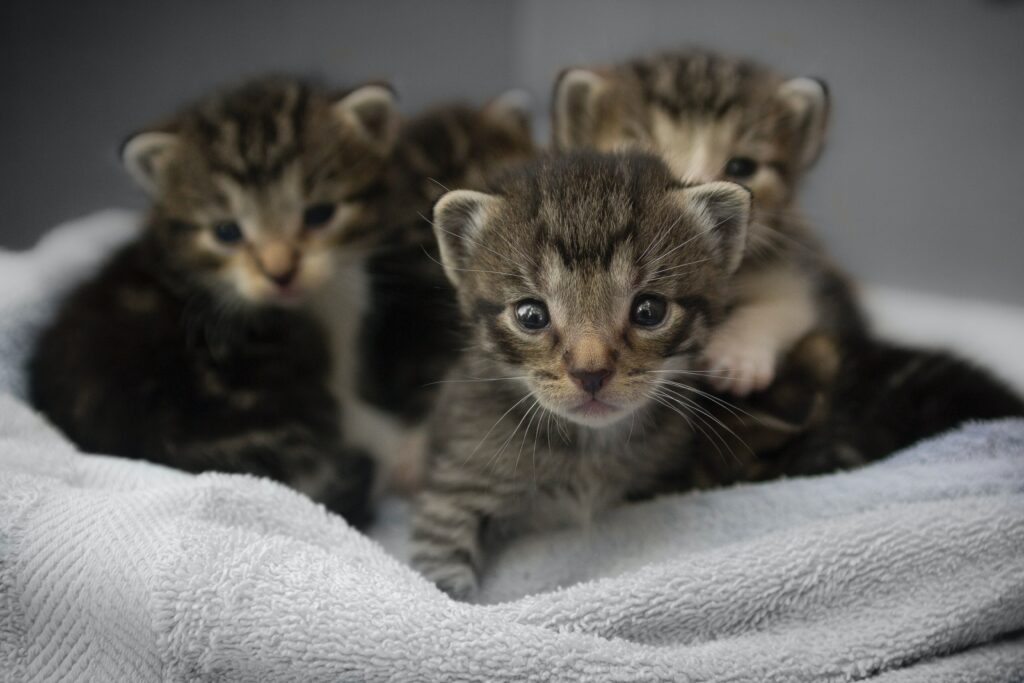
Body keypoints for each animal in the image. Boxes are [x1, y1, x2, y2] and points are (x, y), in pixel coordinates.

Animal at [411, 150, 757, 598]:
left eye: (649, 311)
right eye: (531, 315)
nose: (590, 373)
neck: (589, 449)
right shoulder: (456, 487)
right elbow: (440, 574)